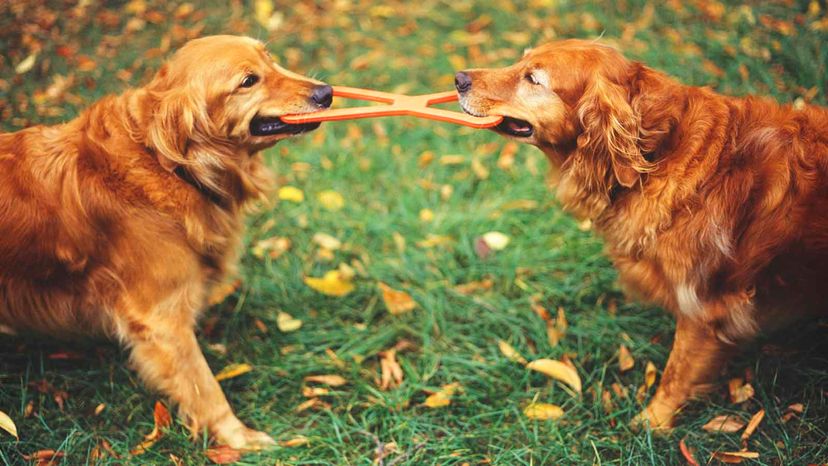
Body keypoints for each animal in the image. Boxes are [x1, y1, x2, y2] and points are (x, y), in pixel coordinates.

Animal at [0, 34, 330, 450]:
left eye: (269, 59)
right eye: (248, 81)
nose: (327, 92)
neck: (167, 164)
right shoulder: (162, 320)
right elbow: (204, 387)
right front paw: (240, 439)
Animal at [456, 41, 828, 430]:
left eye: (533, 79)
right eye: (522, 60)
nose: (459, 79)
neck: (658, 156)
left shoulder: (704, 306)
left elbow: (676, 374)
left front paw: (651, 423)